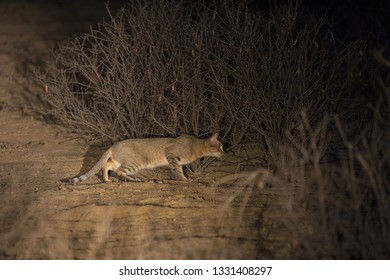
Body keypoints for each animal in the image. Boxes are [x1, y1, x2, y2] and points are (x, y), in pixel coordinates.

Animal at [62, 133, 224, 184]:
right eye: (220, 146)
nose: (224, 152)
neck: (195, 145)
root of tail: (113, 146)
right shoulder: (172, 156)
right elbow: (178, 171)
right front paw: (184, 180)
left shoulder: (177, 161)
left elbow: (180, 169)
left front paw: (185, 178)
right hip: (134, 163)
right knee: (119, 172)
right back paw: (133, 179)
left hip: (120, 161)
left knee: (106, 166)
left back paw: (107, 180)